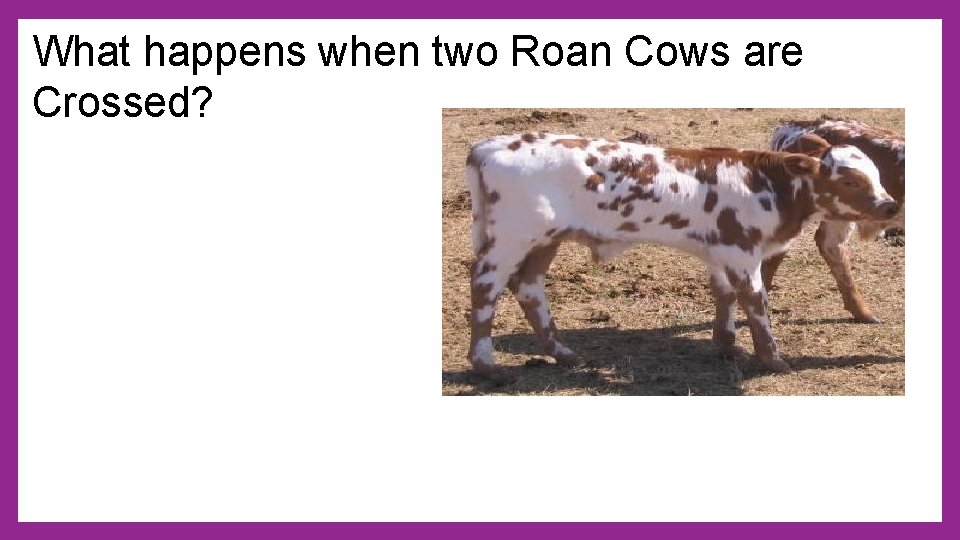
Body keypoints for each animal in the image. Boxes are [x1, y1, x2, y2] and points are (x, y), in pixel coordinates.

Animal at [464, 132, 898, 382]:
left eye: (878, 175)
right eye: (849, 180)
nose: (890, 206)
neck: (763, 183)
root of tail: (487, 146)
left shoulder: (721, 251)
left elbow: (725, 295)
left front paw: (725, 346)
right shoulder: (743, 252)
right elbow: (756, 302)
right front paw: (773, 360)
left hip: (544, 239)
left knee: (529, 287)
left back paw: (564, 354)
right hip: (511, 237)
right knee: (486, 285)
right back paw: (486, 365)